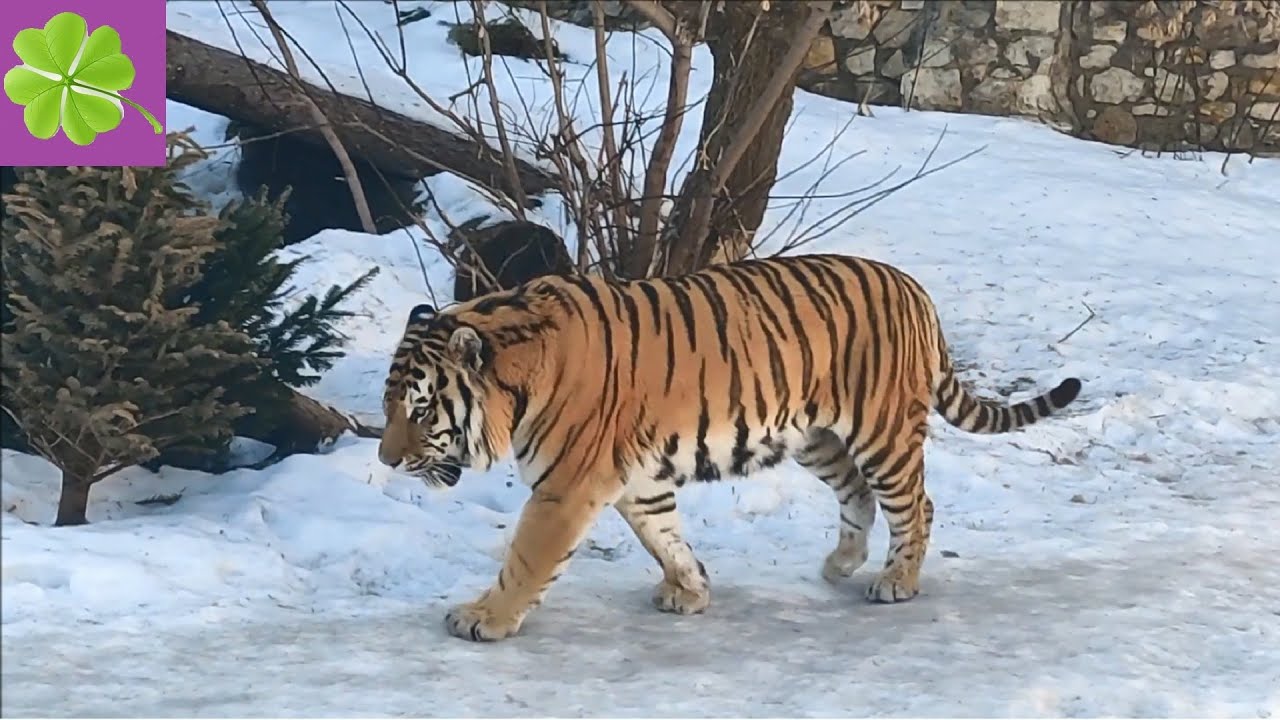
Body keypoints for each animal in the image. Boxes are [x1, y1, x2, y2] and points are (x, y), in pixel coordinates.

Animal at [377, 253, 1082, 642]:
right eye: (389, 407)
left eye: (420, 409)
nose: (386, 460)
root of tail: (914, 288)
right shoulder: (636, 480)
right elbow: (663, 535)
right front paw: (690, 589)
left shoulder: (565, 486)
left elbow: (526, 559)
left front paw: (484, 618)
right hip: (817, 438)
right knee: (859, 496)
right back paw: (842, 564)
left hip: (881, 432)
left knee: (917, 504)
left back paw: (897, 581)